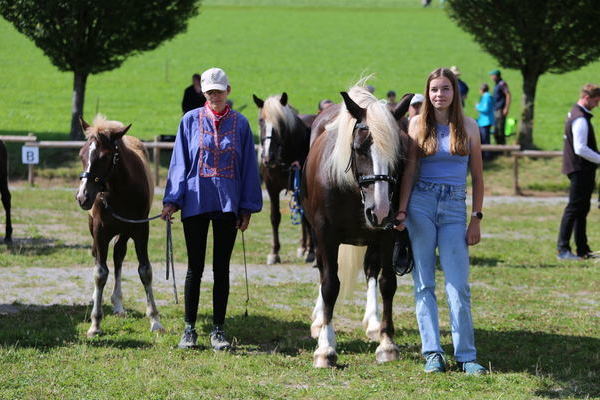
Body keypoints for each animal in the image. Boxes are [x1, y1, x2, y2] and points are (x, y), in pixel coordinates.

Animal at [76, 115, 163, 338]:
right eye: (81, 154)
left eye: (105, 157)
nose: (83, 197)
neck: (120, 191)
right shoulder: (100, 231)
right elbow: (100, 273)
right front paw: (95, 323)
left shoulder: (141, 230)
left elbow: (145, 271)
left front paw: (155, 320)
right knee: (100, 256)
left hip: (125, 231)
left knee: (118, 254)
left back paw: (118, 304)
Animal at [304, 85, 412, 368]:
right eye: (359, 148)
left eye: (399, 153)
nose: (381, 210)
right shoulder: (326, 236)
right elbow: (330, 285)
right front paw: (326, 348)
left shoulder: (387, 236)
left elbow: (387, 283)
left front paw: (387, 344)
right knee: (323, 273)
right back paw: (319, 321)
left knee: (371, 271)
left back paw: (373, 323)